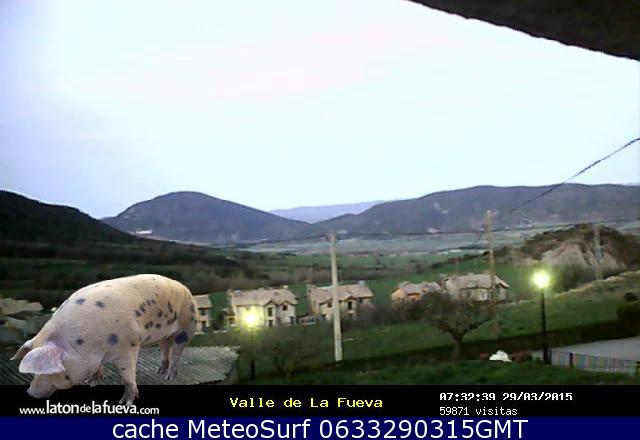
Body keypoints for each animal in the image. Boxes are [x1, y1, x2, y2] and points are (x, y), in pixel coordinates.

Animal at [11, 274, 199, 405]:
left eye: (49, 372)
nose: (30, 392)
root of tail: (187, 289)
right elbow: (97, 368)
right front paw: (91, 382)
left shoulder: (129, 345)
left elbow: (127, 376)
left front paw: (125, 402)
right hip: (164, 334)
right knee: (164, 347)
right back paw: (159, 371)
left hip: (187, 325)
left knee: (176, 352)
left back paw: (169, 377)